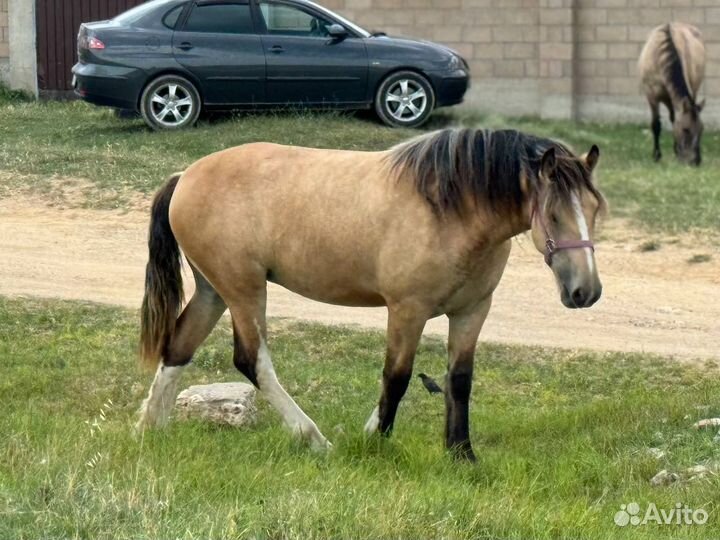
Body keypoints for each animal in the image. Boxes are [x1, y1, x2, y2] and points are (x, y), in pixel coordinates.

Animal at [136, 129, 608, 462]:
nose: (585, 291)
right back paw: (313, 438)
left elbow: (460, 380)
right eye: (552, 214)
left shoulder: (472, 311)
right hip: (243, 289)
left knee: (178, 348)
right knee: (252, 360)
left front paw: (461, 454)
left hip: (214, 291)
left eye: (593, 209)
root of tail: (184, 177)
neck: (450, 208)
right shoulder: (407, 310)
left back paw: (150, 429)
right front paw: (374, 440)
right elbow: (396, 377)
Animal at [640, 22, 704, 165]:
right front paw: (657, 156)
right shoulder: (651, 96)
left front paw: (677, 152)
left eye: (701, 129)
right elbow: (656, 125)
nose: (695, 161)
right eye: (685, 129)